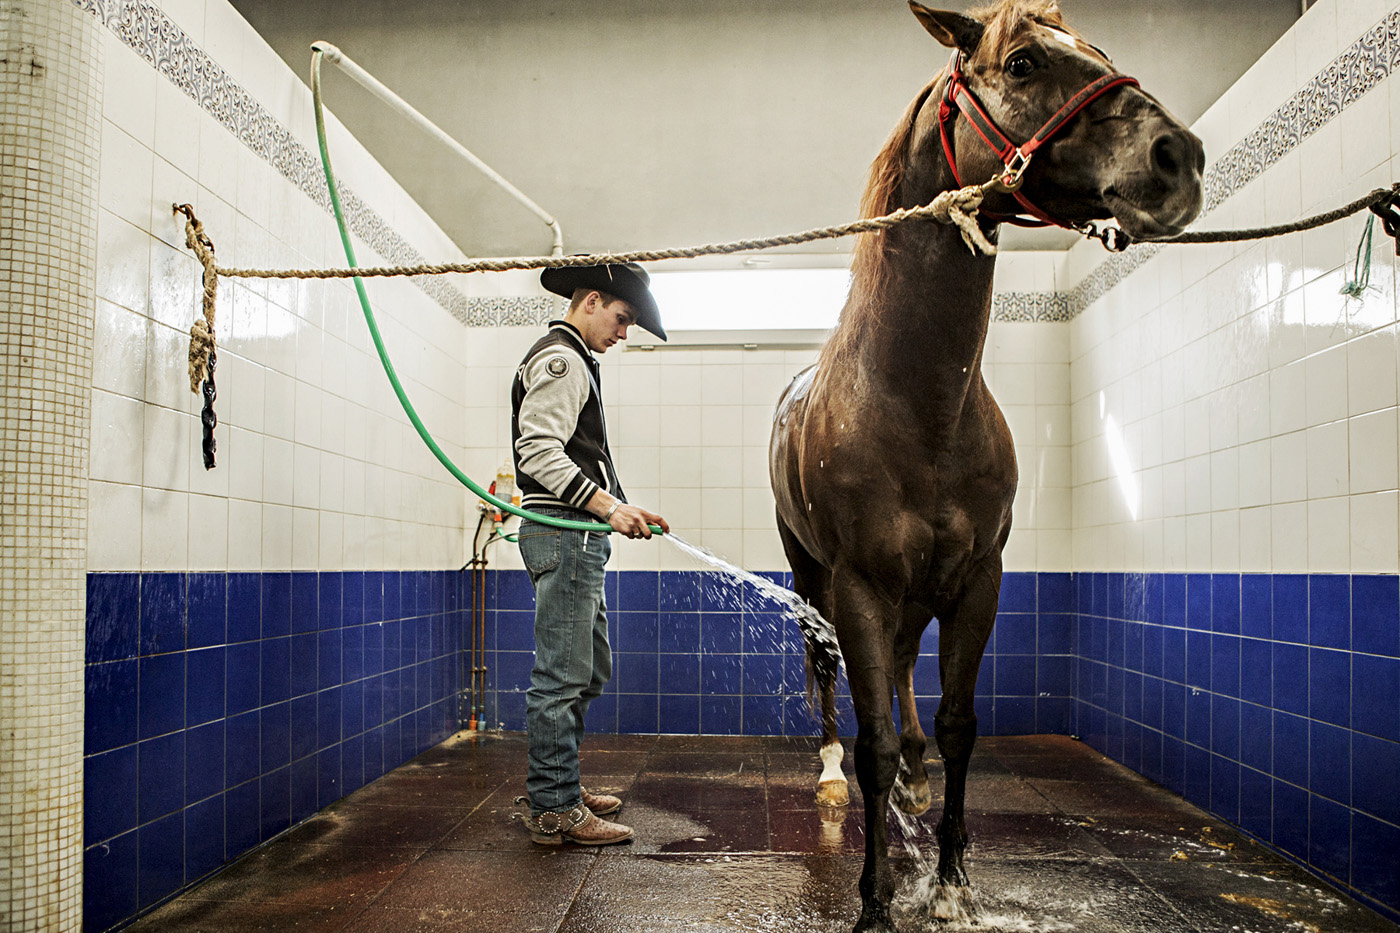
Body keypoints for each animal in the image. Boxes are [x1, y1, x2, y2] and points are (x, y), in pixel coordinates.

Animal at [767, 3, 1204, 924]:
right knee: (827, 672)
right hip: (814, 576)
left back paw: (915, 778)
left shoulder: (978, 579)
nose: (1177, 156)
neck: (919, 404)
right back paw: (830, 775)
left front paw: (952, 881)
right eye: (1024, 60)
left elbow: (960, 724)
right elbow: (871, 735)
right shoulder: (861, 583)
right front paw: (874, 899)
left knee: (903, 667)